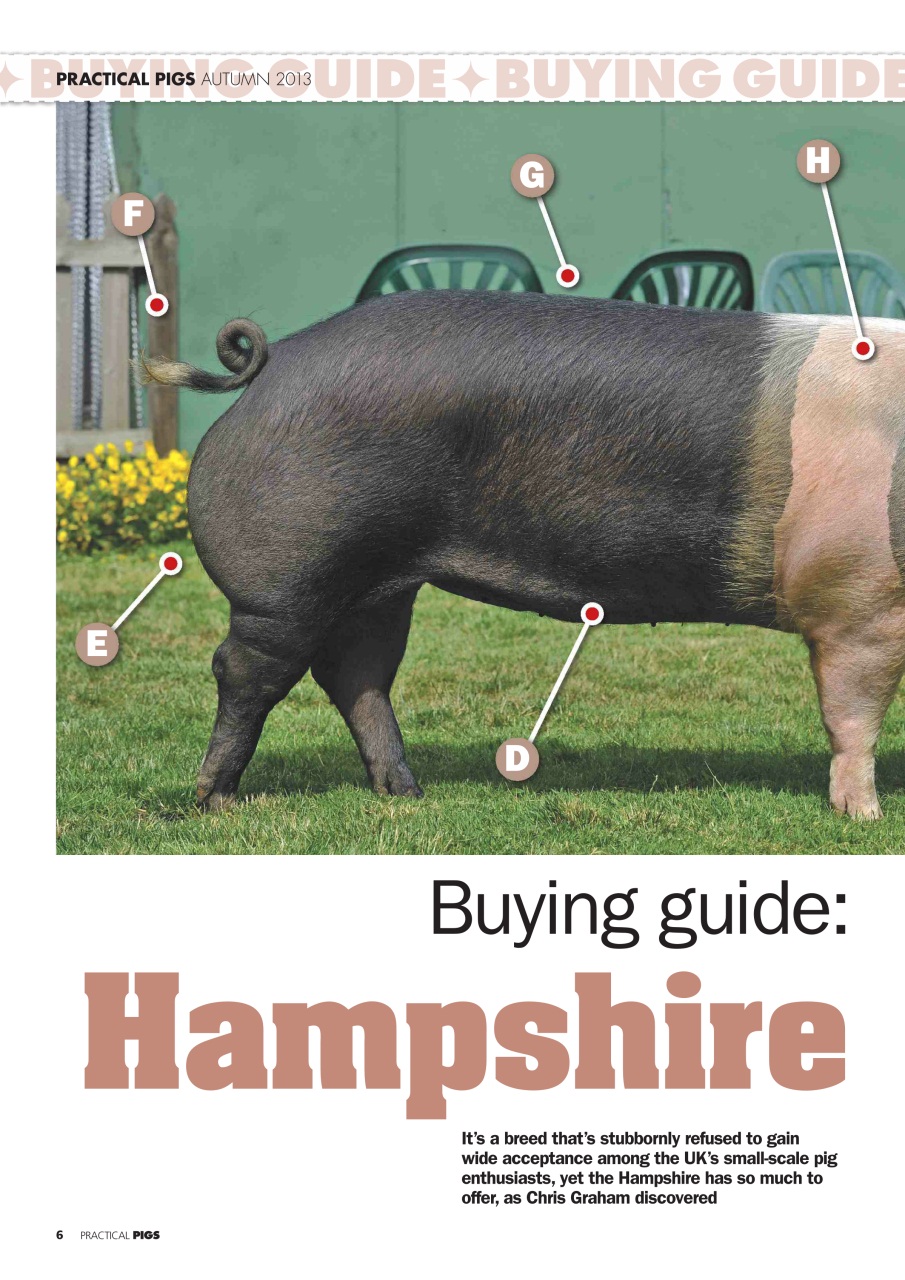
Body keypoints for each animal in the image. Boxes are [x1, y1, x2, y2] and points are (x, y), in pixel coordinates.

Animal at [141, 292, 905, 818]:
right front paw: (864, 818)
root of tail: (274, 363)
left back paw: (406, 794)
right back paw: (218, 800)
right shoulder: (860, 602)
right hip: (291, 574)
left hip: (381, 586)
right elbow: (854, 713)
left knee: (355, 674)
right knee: (246, 670)